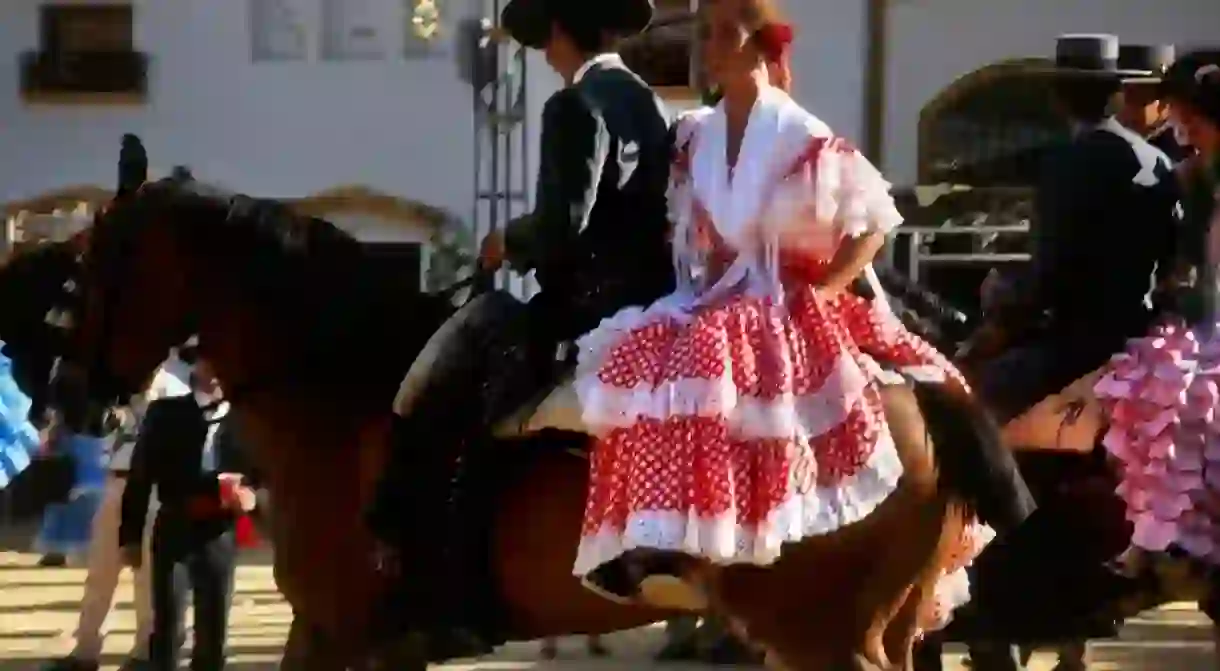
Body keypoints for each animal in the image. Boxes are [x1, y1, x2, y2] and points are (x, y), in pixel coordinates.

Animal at [59, 180, 1029, 671]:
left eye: (97, 261)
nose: (71, 397)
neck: (340, 376)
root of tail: (921, 387)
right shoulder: (368, 641)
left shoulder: (341, 632)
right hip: (884, 628)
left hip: (822, 636)